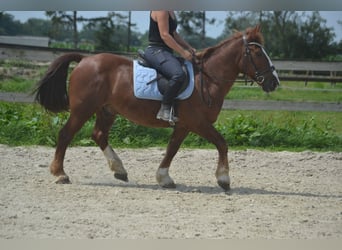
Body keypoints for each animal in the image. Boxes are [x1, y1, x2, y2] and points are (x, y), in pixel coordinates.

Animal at [34, 25, 278, 190]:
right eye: (258, 53)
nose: (274, 82)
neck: (207, 79)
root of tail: (85, 59)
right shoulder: (198, 123)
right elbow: (222, 143)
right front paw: (224, 179)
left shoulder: (184, 125)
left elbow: (172, 149)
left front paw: (164, 178)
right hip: (82, 110)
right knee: (65, 135)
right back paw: (60, 174)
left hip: (107, 110)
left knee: (99, 135)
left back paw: (119, 170)